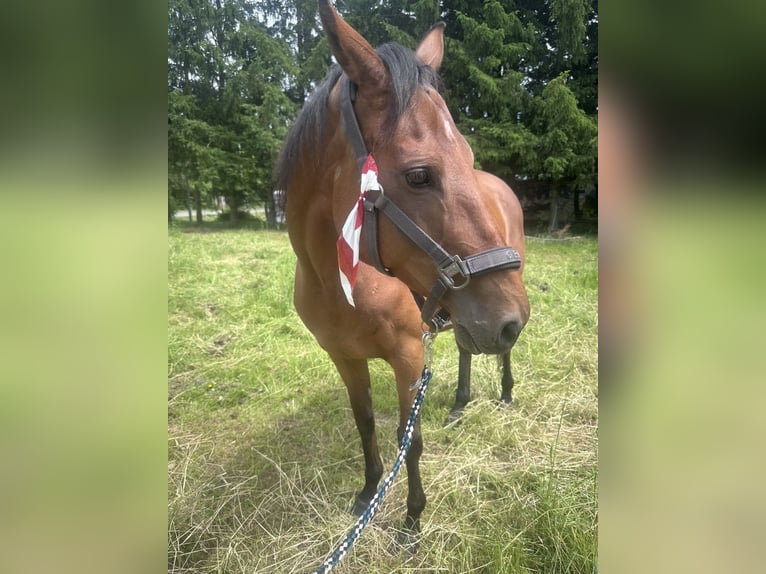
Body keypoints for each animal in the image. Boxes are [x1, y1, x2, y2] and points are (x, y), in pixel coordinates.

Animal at [274, 0, 529, 546]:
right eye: (418, 175)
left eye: (467, 157)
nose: (510, 318)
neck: (339, 282)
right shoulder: (344, 357)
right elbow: (366, 423)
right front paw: (369, 493)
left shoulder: (409, 354)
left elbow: (407, 440)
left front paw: (412, 519)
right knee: (467, 347)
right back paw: (460, 403)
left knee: (500, 352)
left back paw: (504, 394)